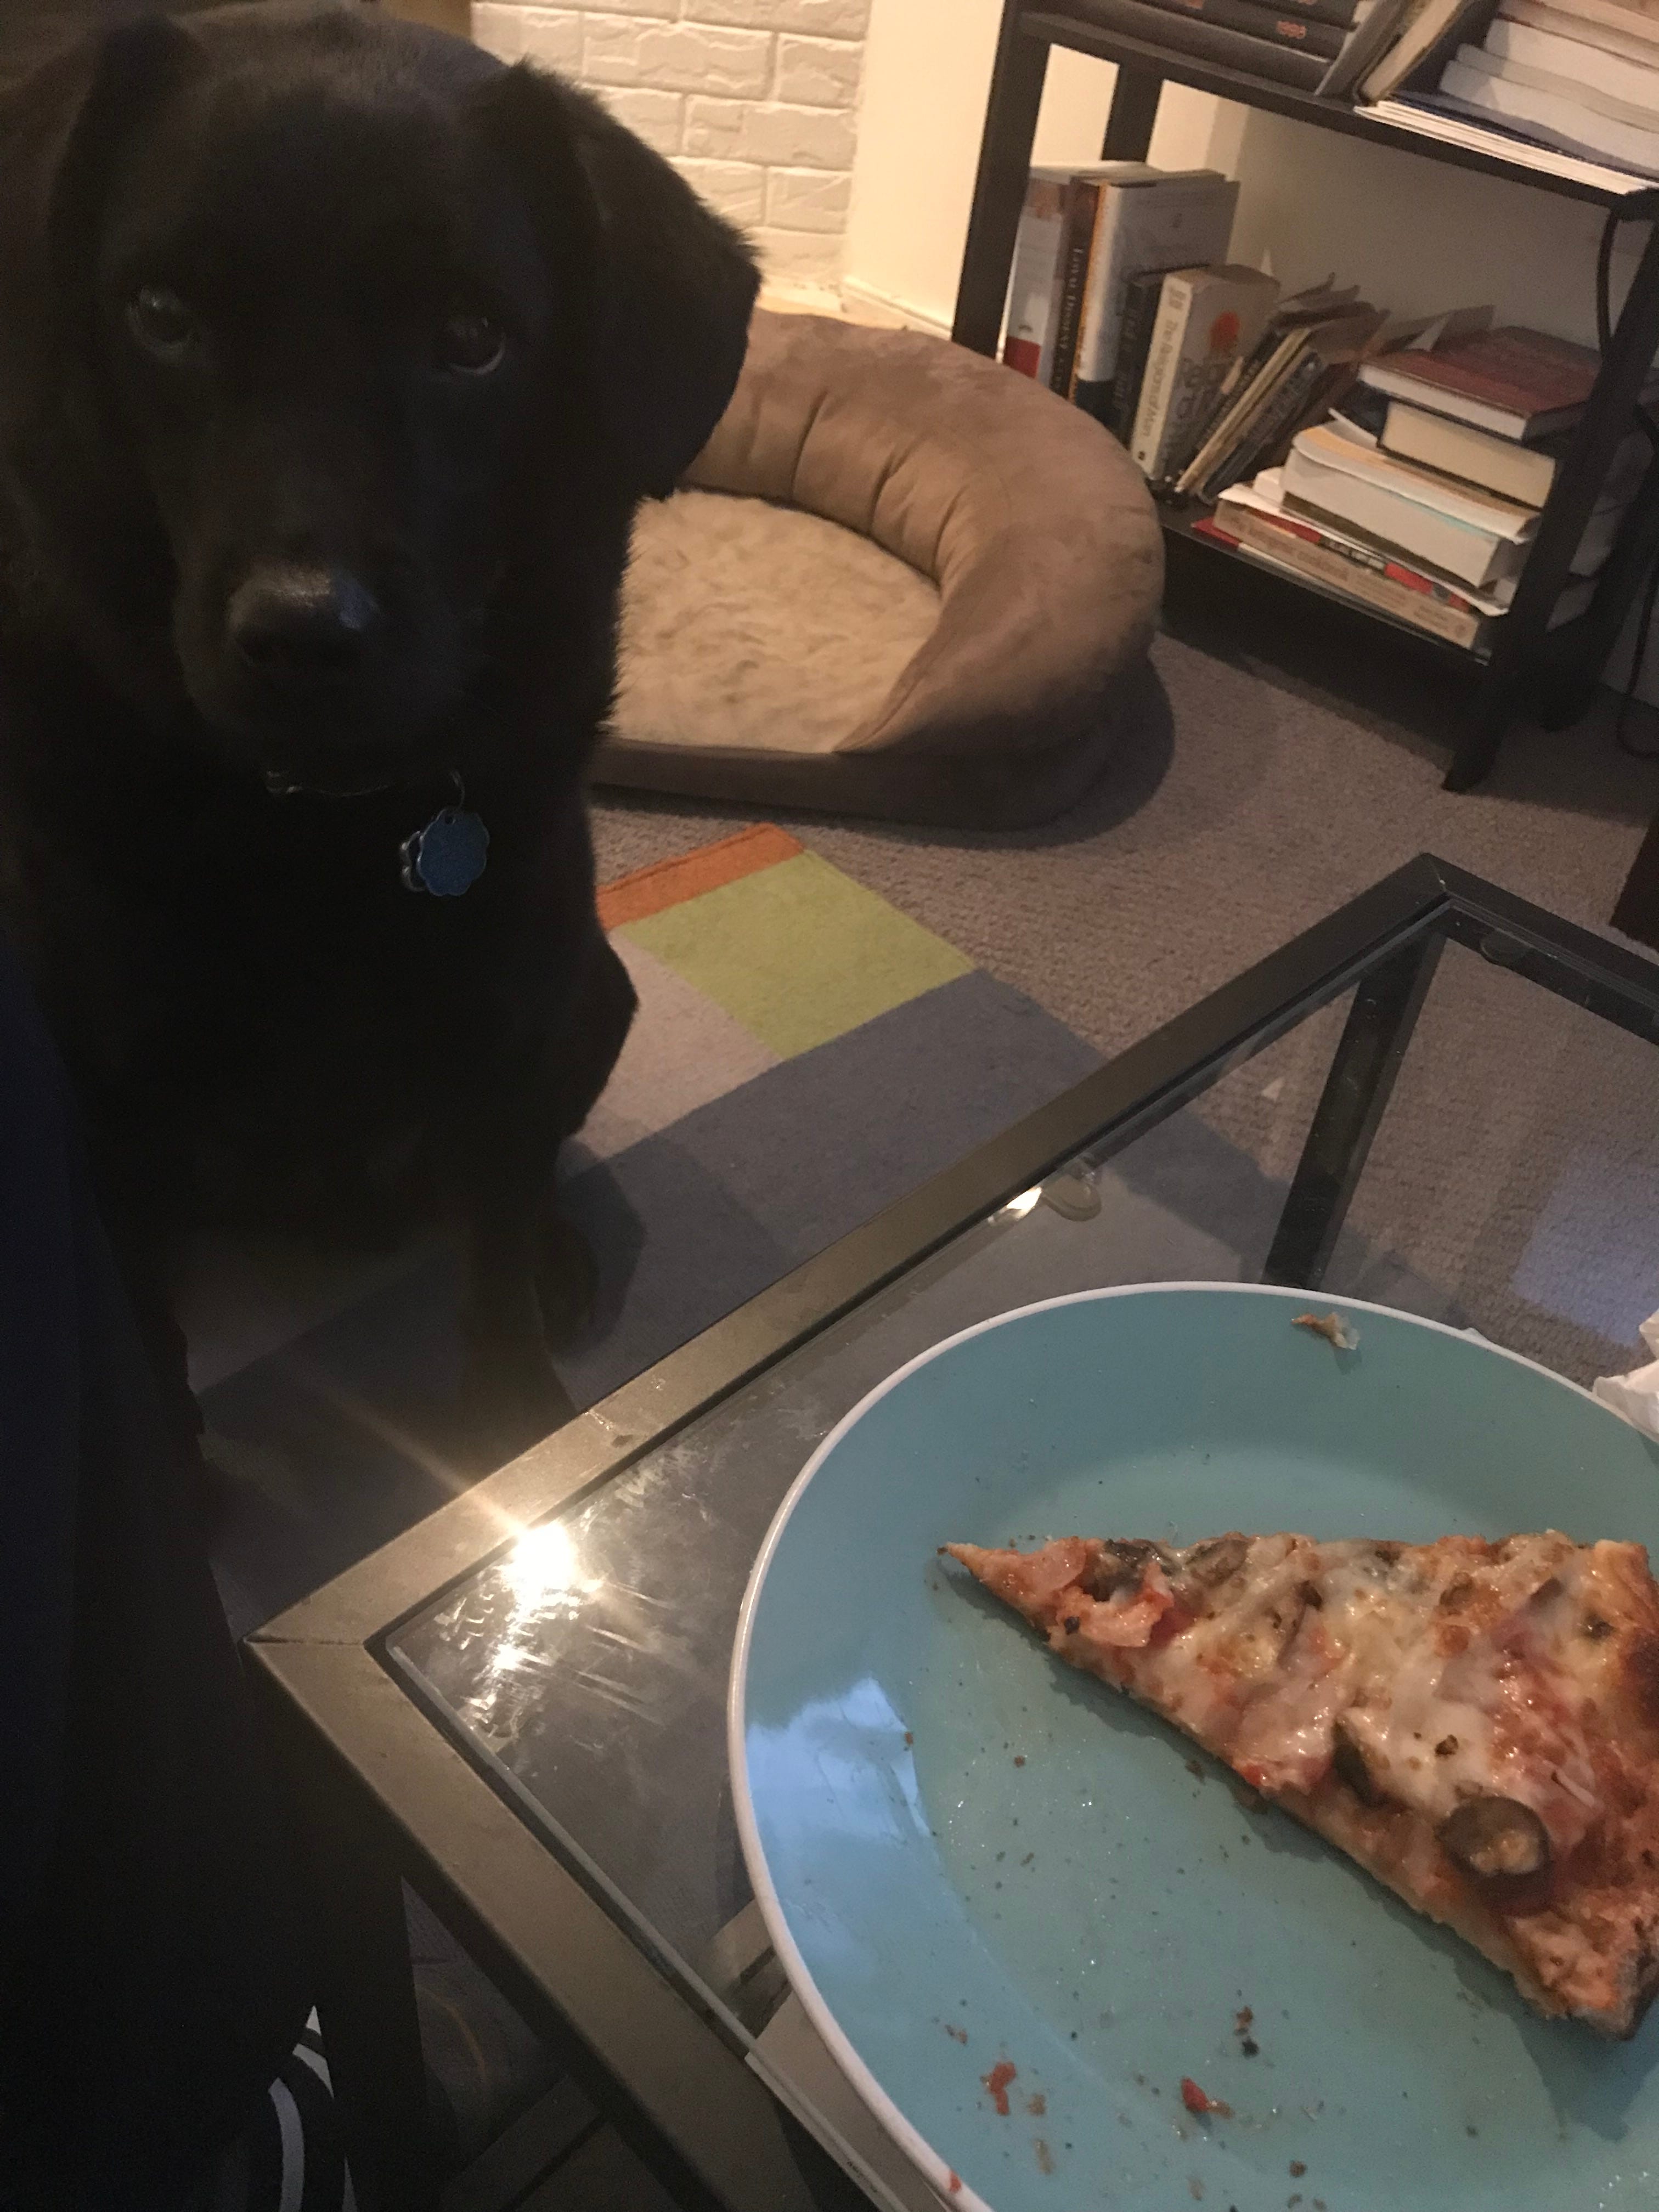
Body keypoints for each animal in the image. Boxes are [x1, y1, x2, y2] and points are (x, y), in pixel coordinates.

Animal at [0, 1, 758, 1446]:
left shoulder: (509, 1028)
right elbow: (148, 1352)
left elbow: (496, 1273)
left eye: (472, 335)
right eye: (162, 313)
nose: (305, 636)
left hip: (596, 991)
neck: (312, 820)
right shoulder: (103, 1099)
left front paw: (518, 1420)